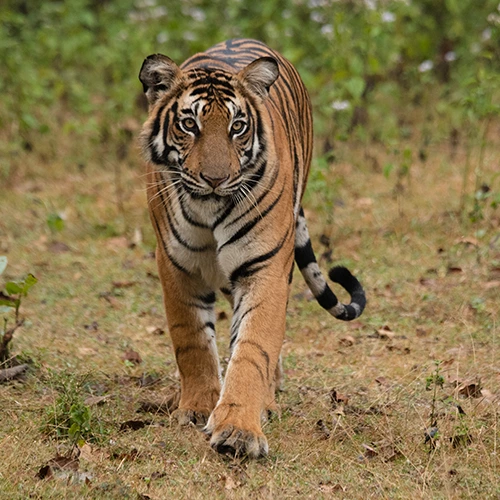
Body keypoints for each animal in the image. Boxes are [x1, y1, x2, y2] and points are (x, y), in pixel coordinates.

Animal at [139, 39, 366, 458]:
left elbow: (253, 347)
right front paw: (198, 407)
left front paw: (239, 430)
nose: (215, 179)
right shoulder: (177, 266)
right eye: (189, 124)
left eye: (237, 127)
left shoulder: (265, 268)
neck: (209, 210)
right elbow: (191, 341)